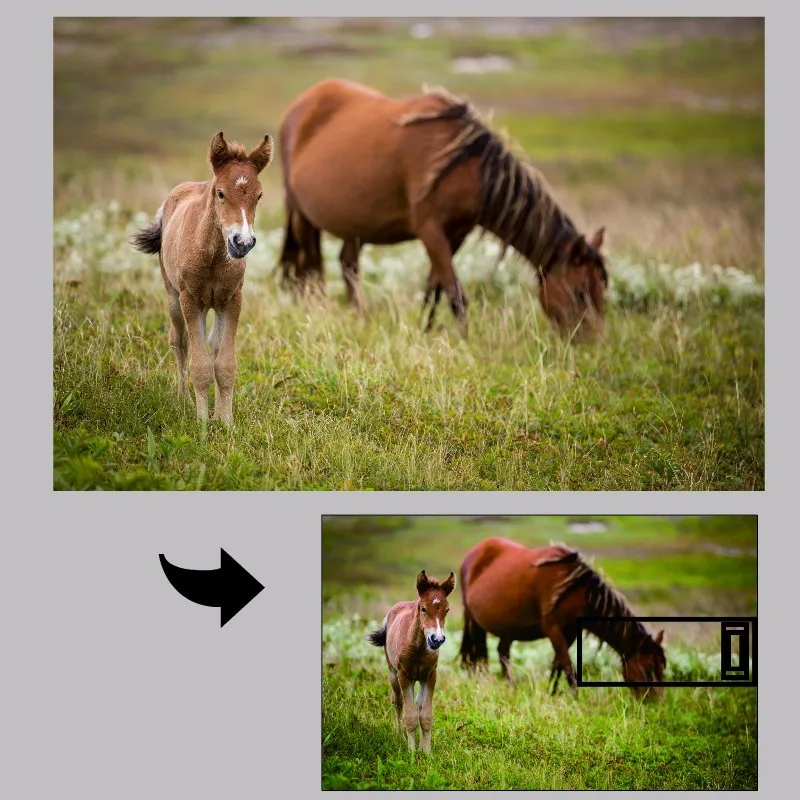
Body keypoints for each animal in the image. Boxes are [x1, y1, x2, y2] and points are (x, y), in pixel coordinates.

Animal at [134, 131, 276, 424]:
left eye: (259, 195)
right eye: (220, 193)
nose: (242, 242)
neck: (212, 258)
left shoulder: (232, 299)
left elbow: (224, 363)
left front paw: (225, 421)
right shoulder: (190, 299)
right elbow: (200, 365)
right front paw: (201, 423)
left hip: (215, 304)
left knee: (213, 345)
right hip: (173, 296)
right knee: (180, 341)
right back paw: (184, 400)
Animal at [278, 81, 608, 340]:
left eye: (601, 292)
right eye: (580, 293)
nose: (592, 345)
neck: (466, 167)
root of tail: (298, 106)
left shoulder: (456, 234)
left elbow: (434, 288)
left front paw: (425, 330)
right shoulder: (430, 230)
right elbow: (454, 292)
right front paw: (466, 340)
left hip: (354, 226)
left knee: (348, 266)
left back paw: (360, 317)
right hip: (302, 216)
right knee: (312, 269)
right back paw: (317, 311)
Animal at [368, 568, 456, 752]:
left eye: (447, 610)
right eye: (423, 608)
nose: (437, 640)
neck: (418, 648)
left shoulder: (430, 675)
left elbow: (425, 715)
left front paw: (426, 751)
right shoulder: (404, 675)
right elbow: (410, 716)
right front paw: (411, 752)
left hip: (419, 679)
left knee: (418, 704)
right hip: (393, 673)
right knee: (397, 701)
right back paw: (399, 736)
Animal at [460, 536, 664, 700]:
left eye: (662, 668)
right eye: (648, 668)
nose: (656, 704)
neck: (576, 591)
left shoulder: (570, 632)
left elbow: (557, 665)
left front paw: (552, 692)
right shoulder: (554, 629)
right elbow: (568, 667)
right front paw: (576, 699)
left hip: (508, 629)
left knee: (502, 653)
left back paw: (511, 687)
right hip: (474, 621)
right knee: (480, 655)